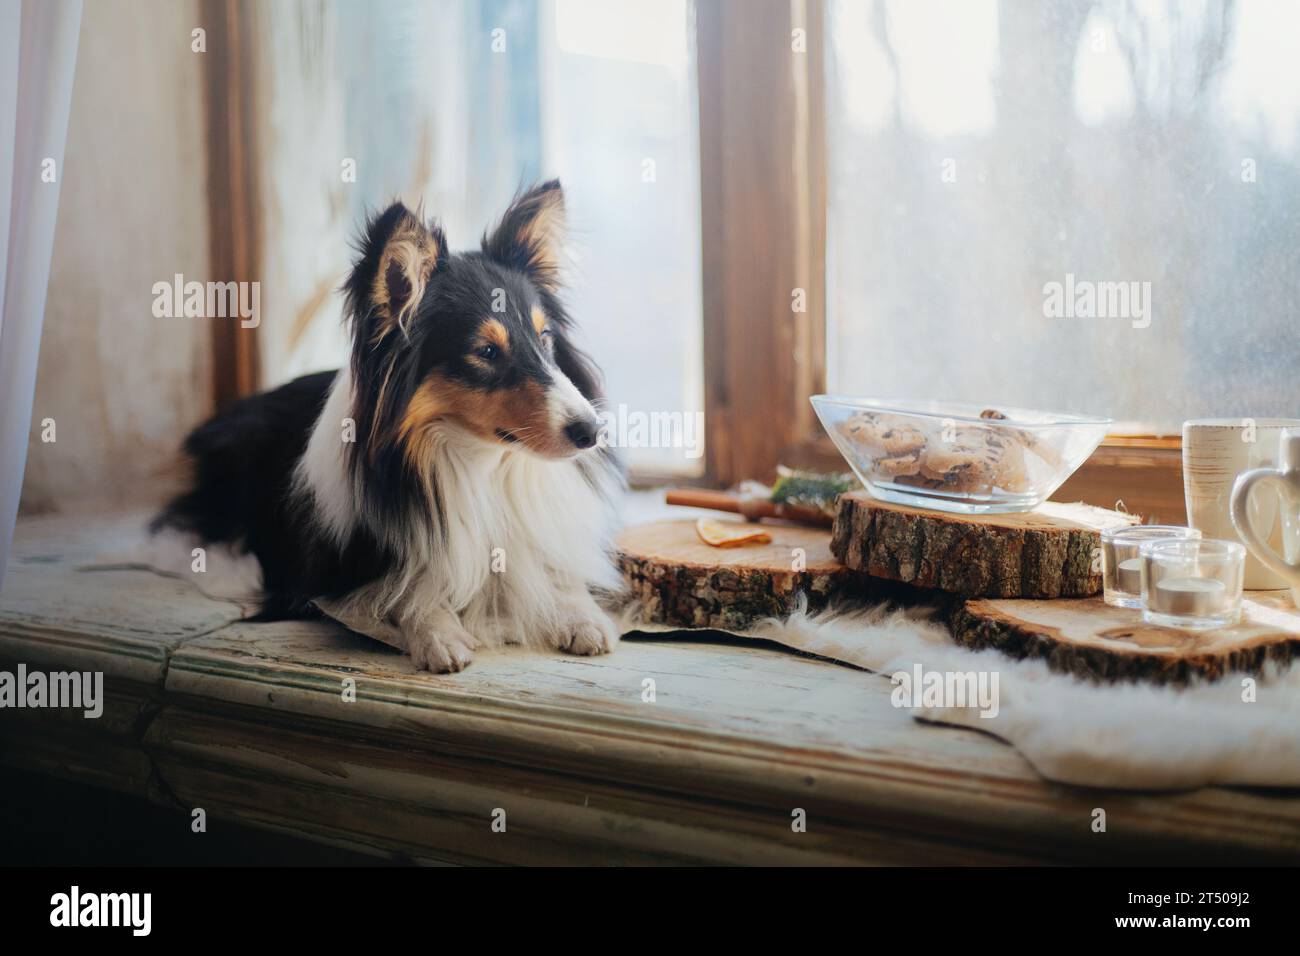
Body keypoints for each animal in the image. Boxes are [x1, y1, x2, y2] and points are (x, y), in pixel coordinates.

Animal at [157, 179, 624, 671]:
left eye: (546, 339)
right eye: (486, 352)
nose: (591, 433)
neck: (478, 462)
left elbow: (556, 572)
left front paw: (583, 619)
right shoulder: (340, 572)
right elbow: (403, 592)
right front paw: (439, 634)